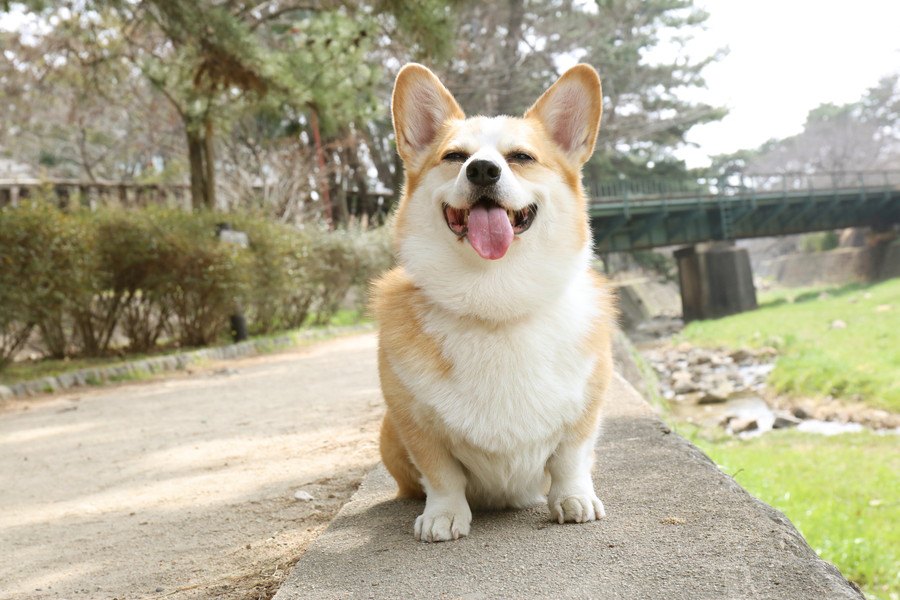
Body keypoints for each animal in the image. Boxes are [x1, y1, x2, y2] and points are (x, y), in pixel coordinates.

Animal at [370, 63, 612, 540]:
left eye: (521, 157)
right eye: (453, 157)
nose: (482, 170)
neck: (496, 299)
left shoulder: (586, 406)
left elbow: (571, 458)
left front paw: (573, 499)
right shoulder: (414, 422)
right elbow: (441, 473)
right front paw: (443, 515)